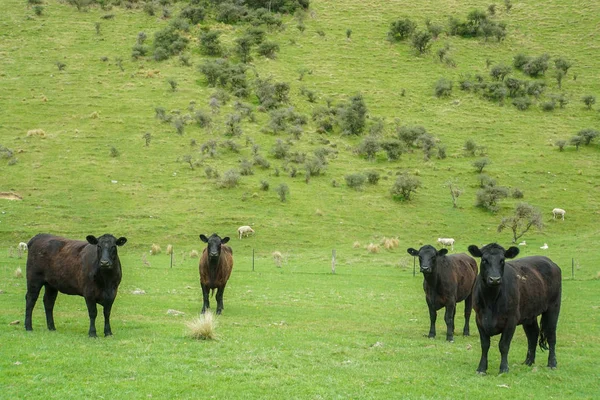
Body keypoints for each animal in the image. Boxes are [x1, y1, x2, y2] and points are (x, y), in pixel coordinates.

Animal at [468, 244, 564, 376]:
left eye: (502, 260)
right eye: (484, 260)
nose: (494, 279)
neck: (491, 301)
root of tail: (550, 262)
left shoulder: (511, 320)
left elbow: (503, 345)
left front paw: (504, 368)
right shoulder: (479, 319)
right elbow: (485, 345)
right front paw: (481, 368)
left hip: (553, 308)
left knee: (551, 335)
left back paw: (552, 363)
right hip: (529, 314)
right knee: (533, 335)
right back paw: (528, 362)